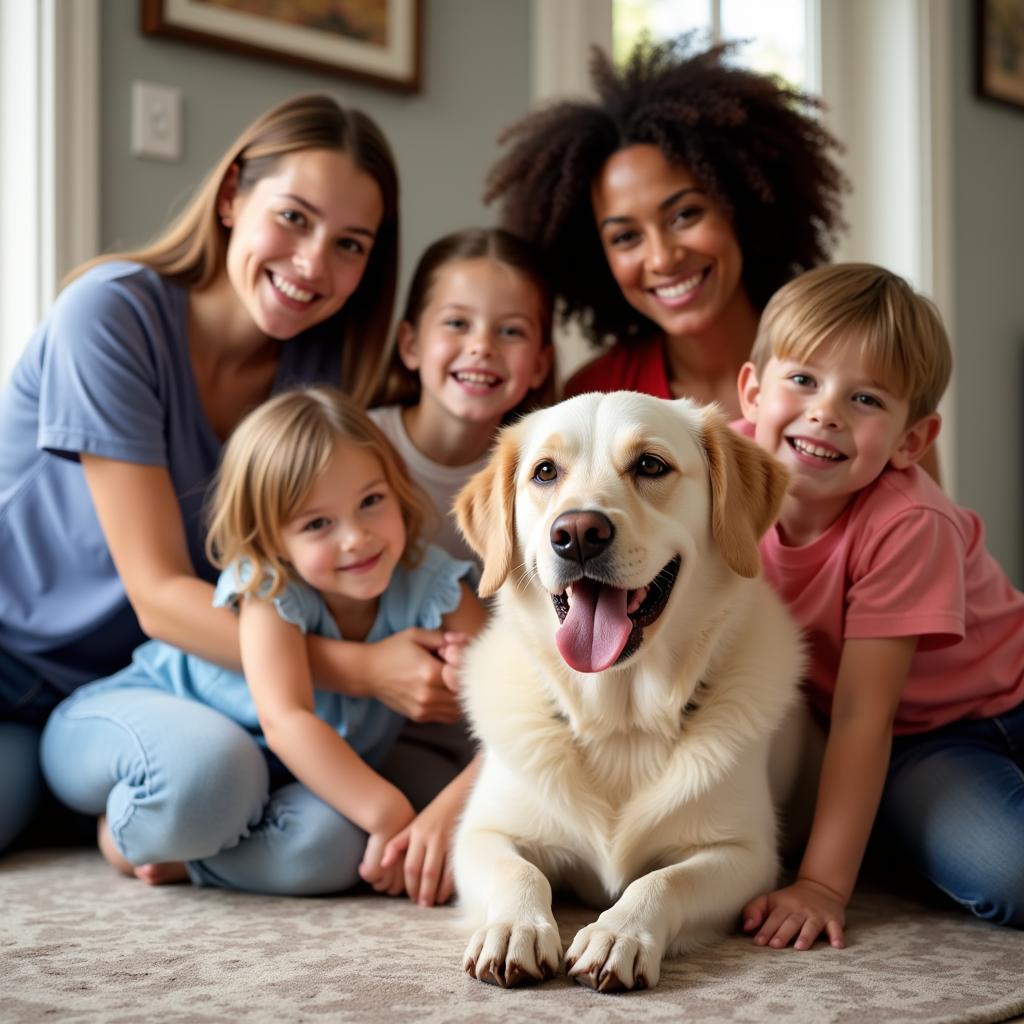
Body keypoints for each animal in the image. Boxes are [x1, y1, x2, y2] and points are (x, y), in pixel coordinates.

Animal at [454, 391, 798, 991]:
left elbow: (661, 881)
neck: (620, 718)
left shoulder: (744, 855)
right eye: (545, 472)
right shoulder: (481, 833)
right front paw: (514, 928)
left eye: (650, 465)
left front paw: (619, 934)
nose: (576, 533)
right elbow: (518, 872)